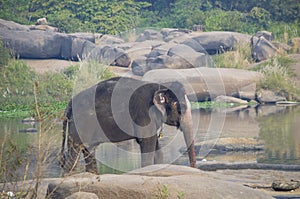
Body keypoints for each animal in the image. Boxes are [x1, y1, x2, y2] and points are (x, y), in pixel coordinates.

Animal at [60, 77, 197, 173]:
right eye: (181, 107)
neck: (160, 85)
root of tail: (69, 104)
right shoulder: (144, 114)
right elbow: (147, 143)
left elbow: (157, 149)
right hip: (80, 124)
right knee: (73, 155)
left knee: (89, 150)